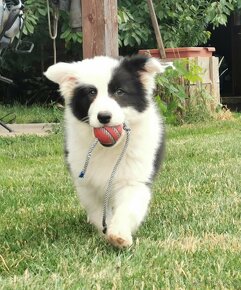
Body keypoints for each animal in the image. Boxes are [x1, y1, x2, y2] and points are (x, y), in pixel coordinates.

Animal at [45, 55, 169, 248]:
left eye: (119, 92)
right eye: (91, 93)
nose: (104, 117)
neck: (110, 148)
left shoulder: (134, 179)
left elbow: (127, 207)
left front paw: (119, 235)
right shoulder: (87, 184)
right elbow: (97, 211)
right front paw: (106, 230)